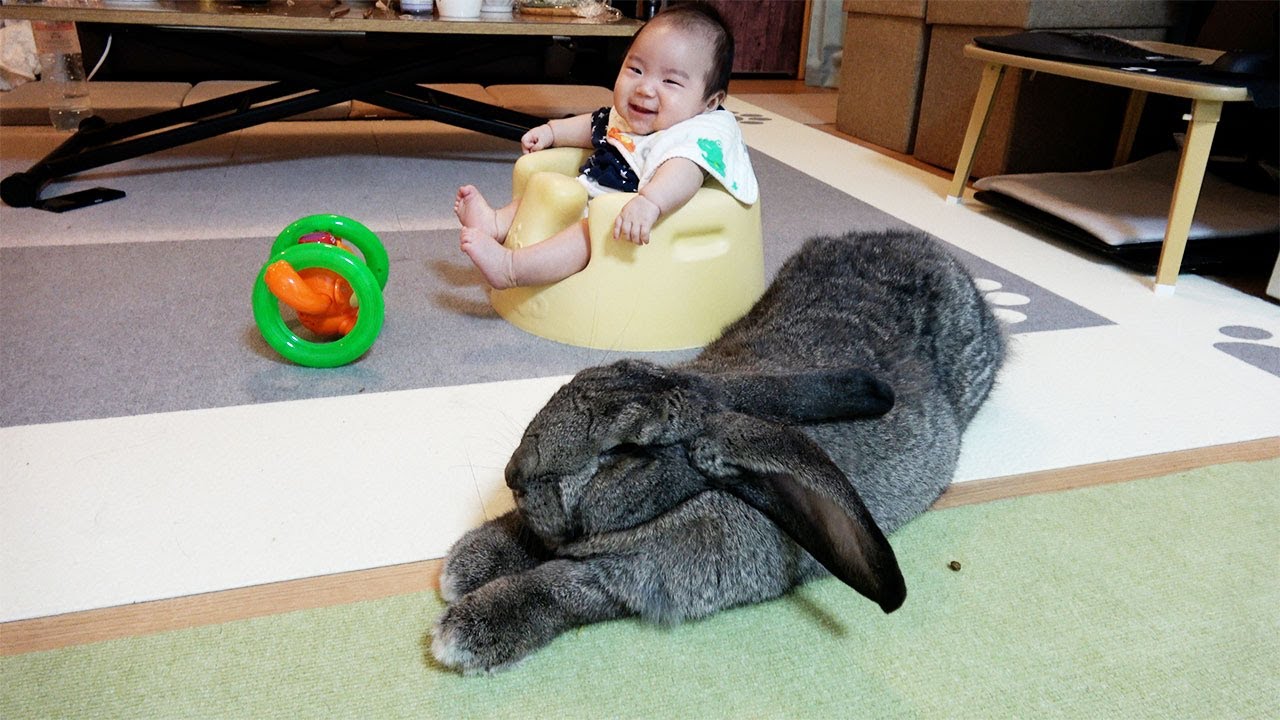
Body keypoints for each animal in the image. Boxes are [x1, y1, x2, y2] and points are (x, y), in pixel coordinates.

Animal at [431, 228, 1005, 674]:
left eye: (625, 454)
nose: (514, 473)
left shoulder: (629, 578)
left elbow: (559, 585)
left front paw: (465, 632)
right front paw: (468, 562)